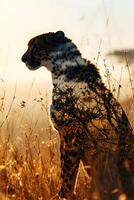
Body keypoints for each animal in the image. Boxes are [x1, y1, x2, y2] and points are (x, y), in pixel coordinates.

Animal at [21, 31, 133, 200]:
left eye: (35, 46)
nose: (23, 59)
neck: (61, 65)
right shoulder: (64, 135)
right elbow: (67, 169)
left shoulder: (71, 133)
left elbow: (68, 170)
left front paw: (62, 195)